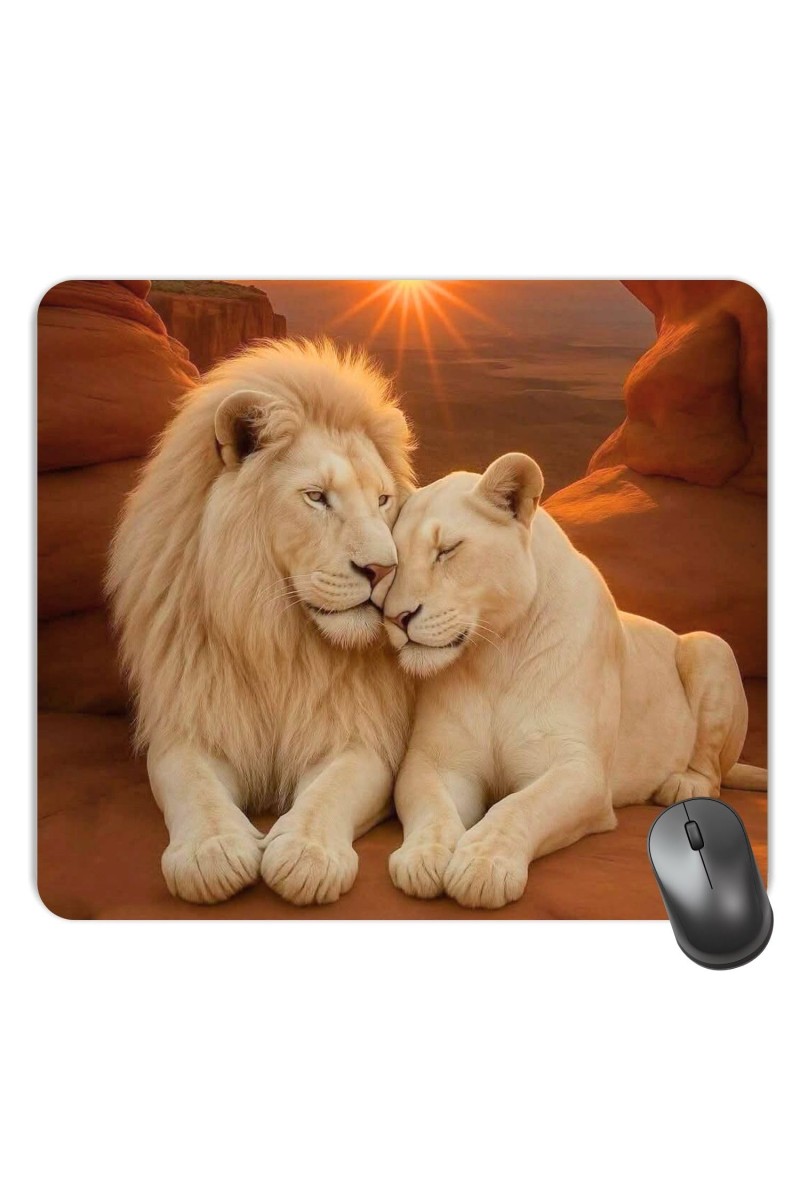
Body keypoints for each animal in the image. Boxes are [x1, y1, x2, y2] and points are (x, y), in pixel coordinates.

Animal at [107, 339, 415, 905]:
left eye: (383, 500)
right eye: (316, 496)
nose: (385, 569)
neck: (275, 633)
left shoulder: (368, 736)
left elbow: (333, 789)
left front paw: (307, 854)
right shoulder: (191, 722)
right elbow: (192, 784)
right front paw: (212, 853)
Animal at [376, 453, 766, 910]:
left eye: (447, 550)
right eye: (392, 563)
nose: (395, 618)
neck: (494, 655)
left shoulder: (579, 769)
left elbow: (519, 807)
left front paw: (484, 865)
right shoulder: (436, 760)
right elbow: (433, 808)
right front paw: (424, 857)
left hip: (710, 648)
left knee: (714, 772)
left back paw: (681, 785)